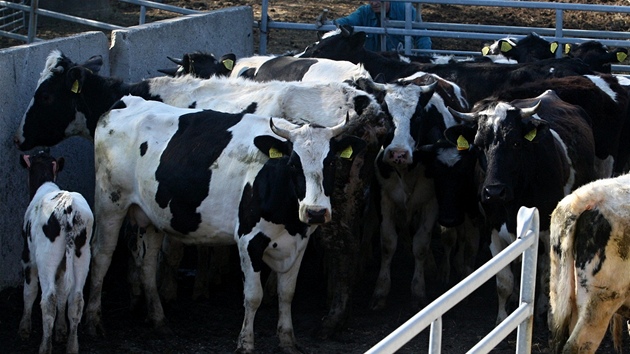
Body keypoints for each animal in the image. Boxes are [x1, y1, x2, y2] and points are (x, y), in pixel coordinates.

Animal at [18, 150, 94, 354]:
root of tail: (68, 206)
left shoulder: (28, 258)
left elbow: (29, 291)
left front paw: (24, 327)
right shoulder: (62, 266)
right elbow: (62, 295)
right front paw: (61, 330)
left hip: (47, 258)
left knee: (48, 299)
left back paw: (45, 347)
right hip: (82, 255)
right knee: (76, 299)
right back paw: (72, 345)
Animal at [88, 94, 368, 354]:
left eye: (331, 162)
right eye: (292, 164)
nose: (315, 212)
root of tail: (128, 100)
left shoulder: (300, 241)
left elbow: (287, 293)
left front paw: (288, 341)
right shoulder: (248, 240)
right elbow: (253, 296)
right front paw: (245, 343)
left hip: (152, 216)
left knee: (146, 264)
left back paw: (159, 321)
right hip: (110, 203)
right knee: (101, 255)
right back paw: (94, 321)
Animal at [446, 89, 600, 326]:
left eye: (516, 143)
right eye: (478, 145)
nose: (494, 191)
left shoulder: (546, 231)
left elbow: (545, 276)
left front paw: (546, 314)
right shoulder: (492, 229)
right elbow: (503, 280)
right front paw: (502, 317)